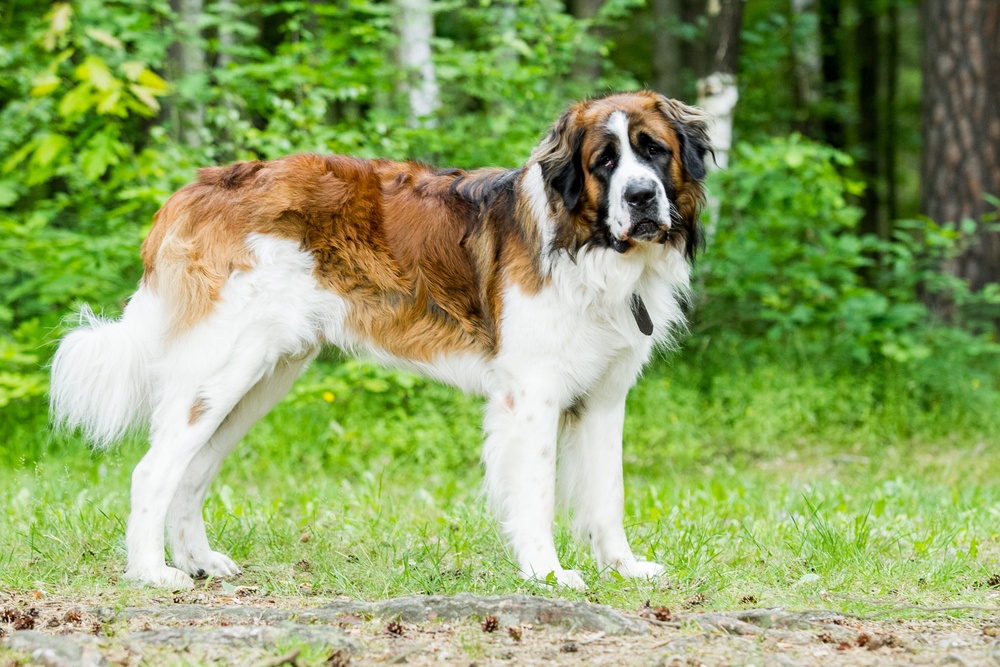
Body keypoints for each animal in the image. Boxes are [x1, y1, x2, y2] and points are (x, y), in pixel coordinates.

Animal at [50, 90, 712, 588]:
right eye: (605, 163)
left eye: (653, 152)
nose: (641, 197)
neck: (586, 246)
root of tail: (199, 187)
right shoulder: (532, 395)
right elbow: (537, 493)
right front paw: (547, 574)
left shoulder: (604, 398)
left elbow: (608, 495)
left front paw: (623, 568)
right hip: (222, 370)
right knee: (153, 470)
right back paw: (152, 573)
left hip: (260, 379)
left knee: (191, 471)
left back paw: (199, 562)